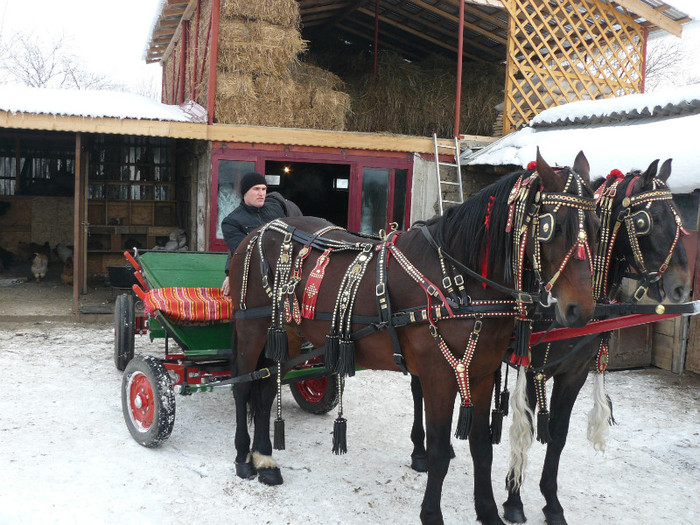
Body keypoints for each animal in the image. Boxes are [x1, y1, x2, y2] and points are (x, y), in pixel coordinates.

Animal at [228, 149, 596, 520]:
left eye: (595, 226)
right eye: (552, 226)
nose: (581, 310)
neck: (459, 281)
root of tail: (261, 230)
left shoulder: (480, 373)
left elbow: (481, 448)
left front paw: (489, 512)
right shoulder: (439, 375)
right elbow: (438, 451)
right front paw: (431, 513)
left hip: (286, 335)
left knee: (265, 389)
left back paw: (265, 459)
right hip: (251, 329)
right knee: (243, 387)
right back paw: (244, 458)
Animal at [500, 159, 692, 524]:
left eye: (677, 213)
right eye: (648, 220)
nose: (683, 288)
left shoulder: (573, 373)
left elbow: (558, 434)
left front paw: (552, 503)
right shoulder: (531, 371)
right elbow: (526, 428)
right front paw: (513, 499)